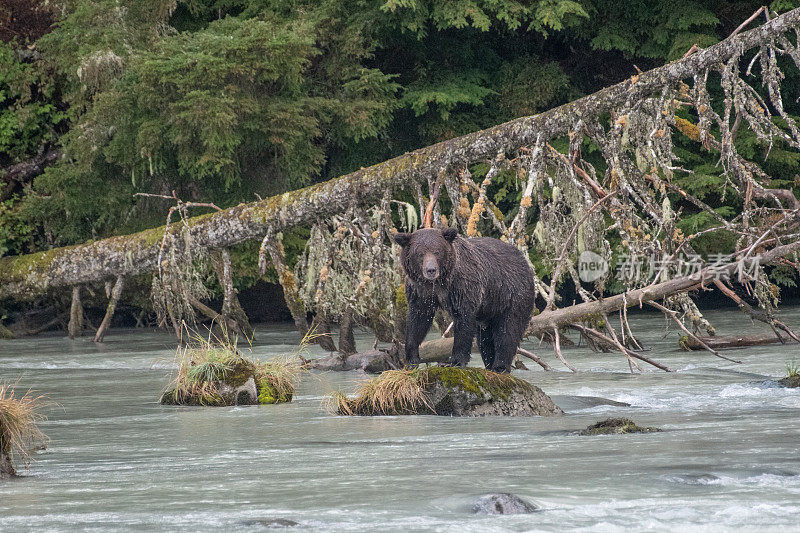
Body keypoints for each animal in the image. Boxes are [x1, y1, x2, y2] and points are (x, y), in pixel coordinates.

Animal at [392, 227, 536, 372]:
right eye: (420, 253)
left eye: (437, 252)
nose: (431, 270)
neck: (439, 284)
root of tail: (525, 262)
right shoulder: (420, 292)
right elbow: (417, 321)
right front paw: (411, 360)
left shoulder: (463, 287)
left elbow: (464, 322)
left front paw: (454, 361)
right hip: (489, 310)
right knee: (485, 339)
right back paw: (489, 365)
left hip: (512, 295)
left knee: (508, 331)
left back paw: (500, 366)